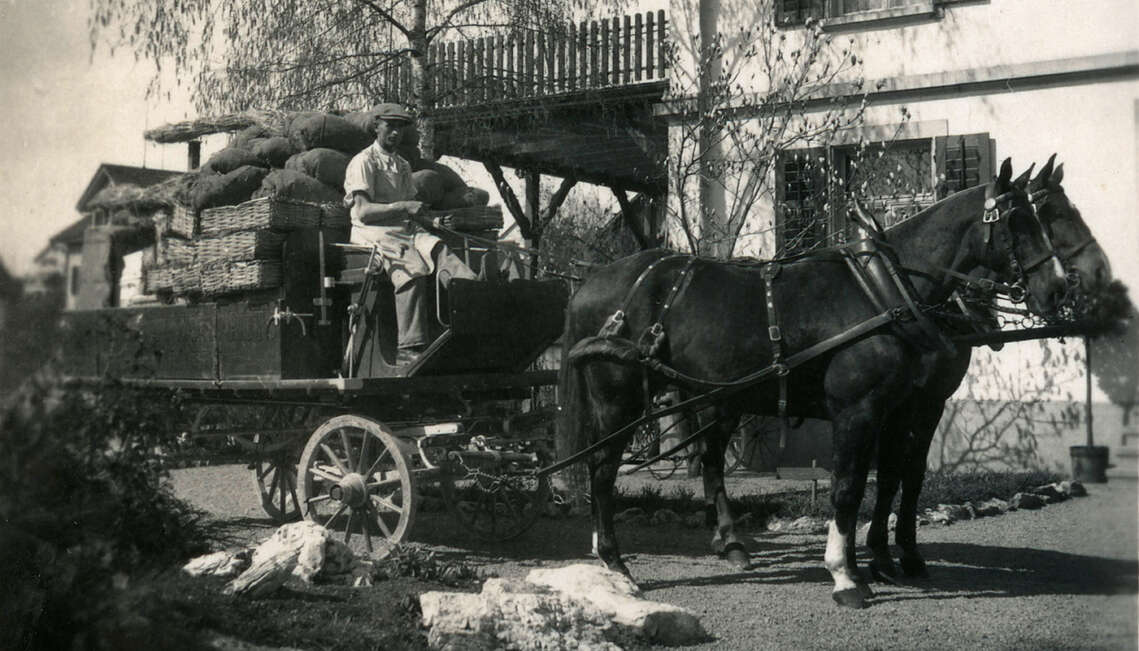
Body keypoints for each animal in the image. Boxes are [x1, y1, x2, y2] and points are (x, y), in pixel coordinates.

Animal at [555, 160, 1070, 610]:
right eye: (1019, 220)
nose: (1058, 289)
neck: (882, 289)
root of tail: (590, 284)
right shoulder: (859, 411)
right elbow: (847, 489)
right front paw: (845, 577)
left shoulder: (891, 410)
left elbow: (877, 482)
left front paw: (872, 564)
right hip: (618, 400)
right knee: (602, 471)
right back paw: (615, 563)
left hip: (709, 399)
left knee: (694, 462)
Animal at [865, 154, 1107, 582]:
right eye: (1053, 214)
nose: (1095, 272)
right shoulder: (900, 402)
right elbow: (891, 472)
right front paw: (879, 552)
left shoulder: (933, 400)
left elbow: (913, 473)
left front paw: (907, 552)